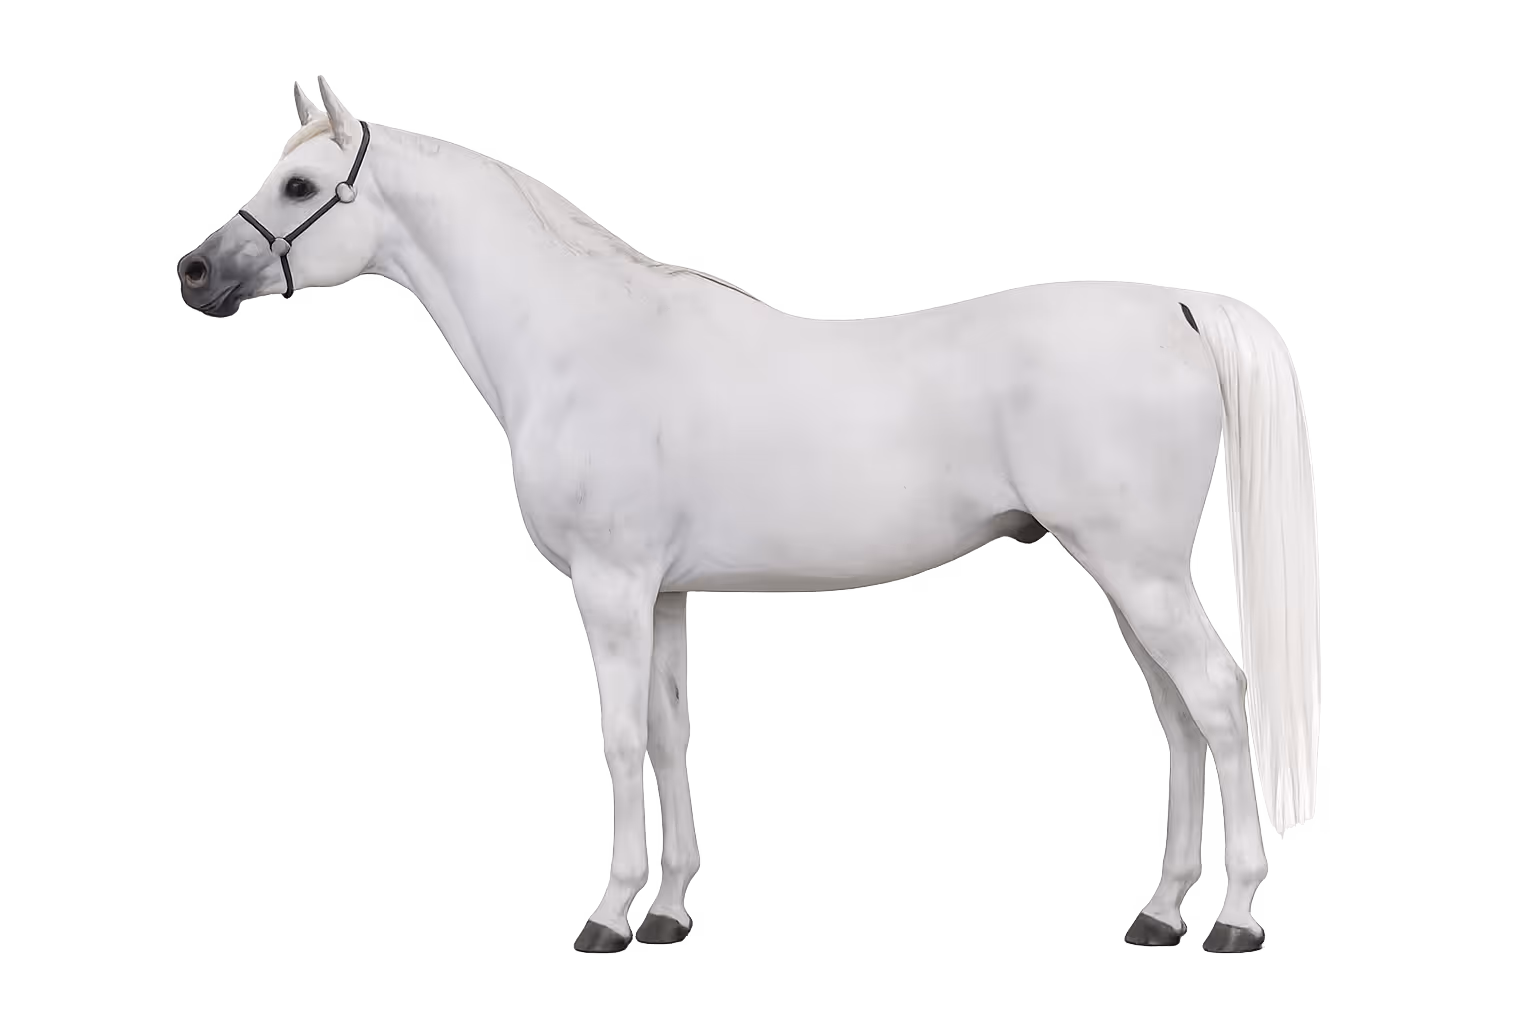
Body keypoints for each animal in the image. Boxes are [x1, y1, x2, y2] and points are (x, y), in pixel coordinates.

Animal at [178, 78, 1320, 954]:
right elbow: (669, 736)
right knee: (1178, 715)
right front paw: (671, 911)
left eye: (299, 185)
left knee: (1219, 699)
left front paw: (607, 916)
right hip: (1128, 578)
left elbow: (616, 742)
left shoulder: (611, 587)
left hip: (1140, 572)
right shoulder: (665, 593)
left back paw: (1237, 919)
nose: (194, 273)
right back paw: (1160, 913)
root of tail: (1174, 307)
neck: (576, 340)